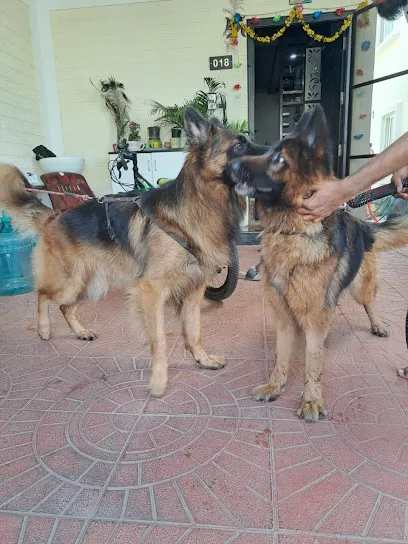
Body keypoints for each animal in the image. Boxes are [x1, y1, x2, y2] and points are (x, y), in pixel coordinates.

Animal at [0, 107, 268, 396]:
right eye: (240, 144)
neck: (199, 203)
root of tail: (54, 217)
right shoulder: (151, 291)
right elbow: (159, 339)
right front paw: (159, 379)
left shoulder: (194, 290)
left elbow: (194, 330)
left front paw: (202, 359)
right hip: (71, 282)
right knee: (43, 295)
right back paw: (44, 329)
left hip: (90, 284)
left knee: (64, 307)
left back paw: (80, 332)